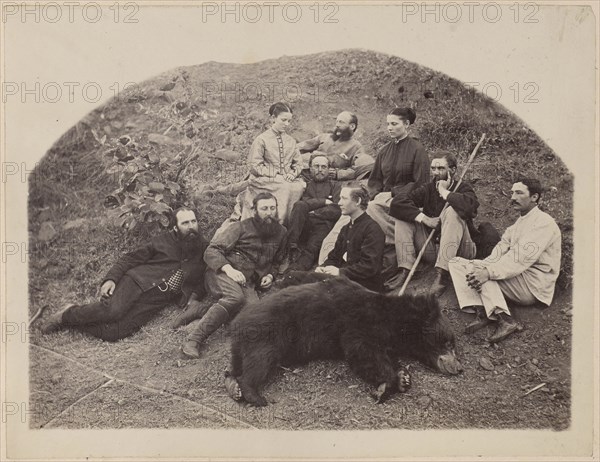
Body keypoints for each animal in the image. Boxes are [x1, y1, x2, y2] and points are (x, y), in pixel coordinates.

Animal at [226, 272, 464, 406]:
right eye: (448, 343)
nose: (460, 368)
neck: (392, 318)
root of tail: (237, 323)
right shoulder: (358, 321)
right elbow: (362, 351)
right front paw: (386, 386)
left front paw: (403, 377)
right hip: (266, 334)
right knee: (259, 362)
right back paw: (255, 395)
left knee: (236, 366)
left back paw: (233, 385)